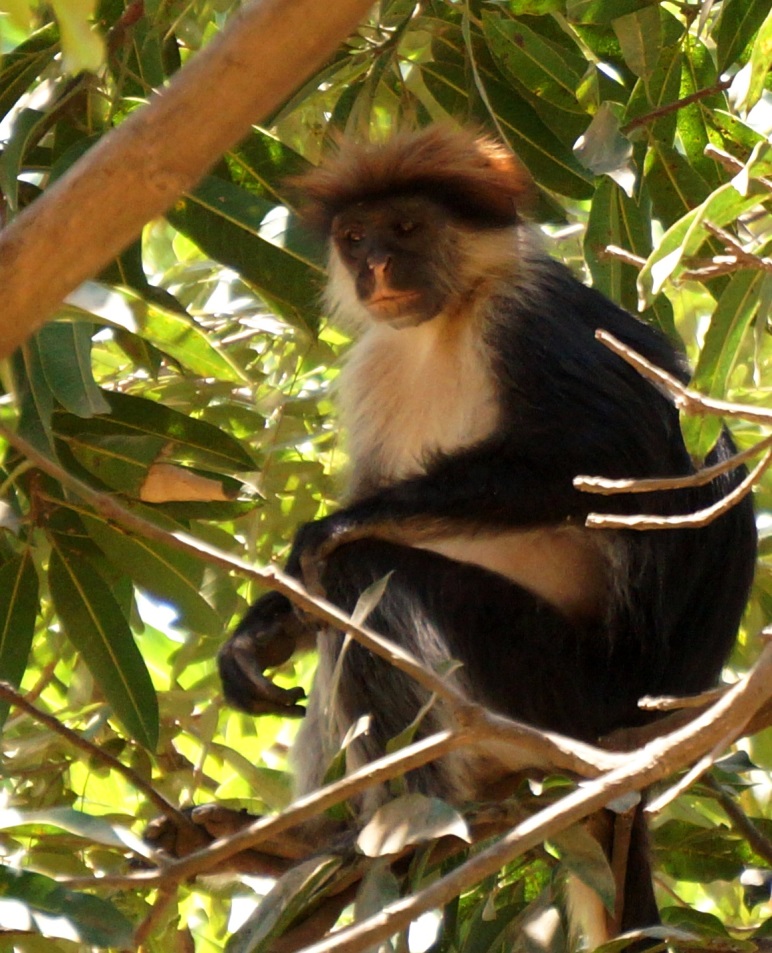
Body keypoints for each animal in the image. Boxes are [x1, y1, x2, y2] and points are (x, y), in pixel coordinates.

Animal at [216, 124, 752, 936]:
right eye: (355, 237)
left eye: (407, 228)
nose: (376, 267)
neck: (448, 318)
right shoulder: (379, 360)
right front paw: (259, 633)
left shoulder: (528, 314)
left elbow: (617, 459)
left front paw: (337, 527)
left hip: (554, 686)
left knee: (361, 573)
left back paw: (396, 826)